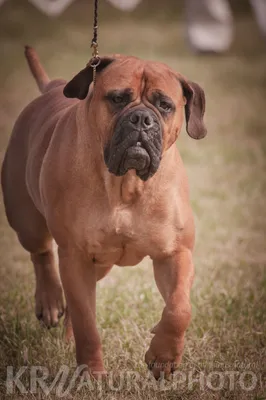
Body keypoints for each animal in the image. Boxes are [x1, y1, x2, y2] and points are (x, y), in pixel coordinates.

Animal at [0, 47, 206, 378]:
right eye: (118, 98)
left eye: (165, 105)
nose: (141, 119)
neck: (127, 183)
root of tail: (51, 87)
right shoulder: (75, 255)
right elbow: (87, 323)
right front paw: (92, 374)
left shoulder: (175, 253)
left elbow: (179, 309)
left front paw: (164, 355)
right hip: (26, 221)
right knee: (42, 255)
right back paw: (49, 301)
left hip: (101, 264)